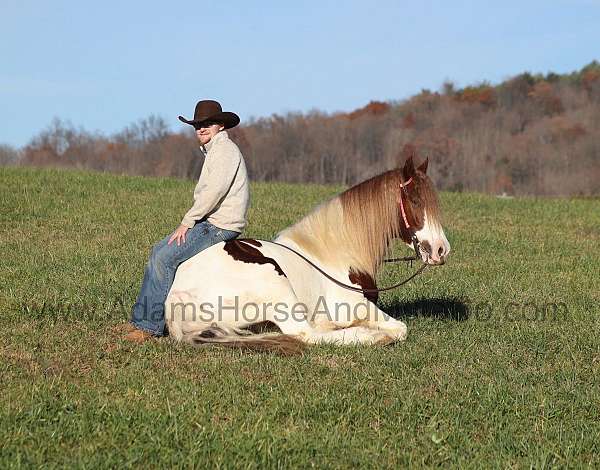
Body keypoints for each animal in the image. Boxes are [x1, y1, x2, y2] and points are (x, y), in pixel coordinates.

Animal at [164, 156, 450, 354]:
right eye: (415, 201)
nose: (441, 249)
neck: (335, 255)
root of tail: (176, 297)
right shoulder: (357, 306)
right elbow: (401, 329)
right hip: (275, 283)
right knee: (306, 334)